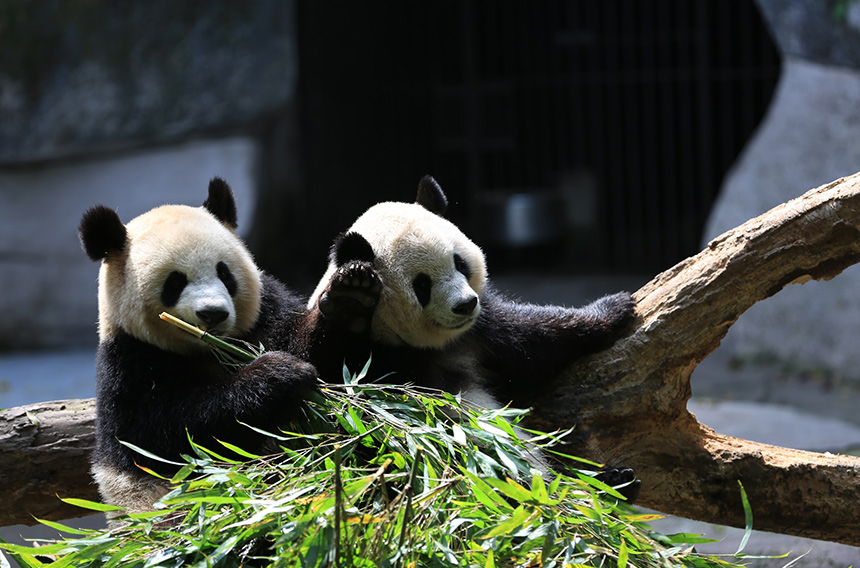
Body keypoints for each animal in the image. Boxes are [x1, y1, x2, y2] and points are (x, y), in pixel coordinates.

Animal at [79, 179, 316, 520]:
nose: (213, 313)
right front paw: (278, 375)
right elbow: (179, 435)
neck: (209, 348)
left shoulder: (265, 316)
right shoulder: (129, 365)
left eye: (224, 273)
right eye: (175, 282)